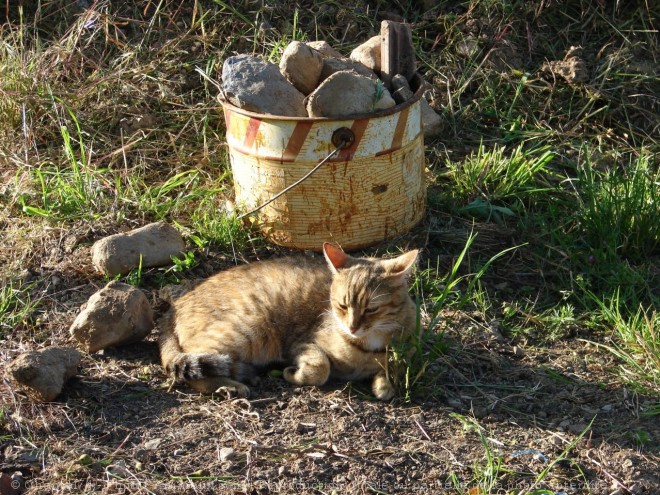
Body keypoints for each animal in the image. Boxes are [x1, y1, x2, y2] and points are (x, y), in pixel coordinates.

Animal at [159, 242, 418, 402]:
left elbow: (392, 370)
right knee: (190, 369)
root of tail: (176, 304)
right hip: (247, 328)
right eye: (342, 305)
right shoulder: (302, 344)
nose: (352, 327)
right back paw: (231, 385)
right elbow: (320, 368)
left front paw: (384, 384)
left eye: (372, 309)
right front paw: (293, 374)